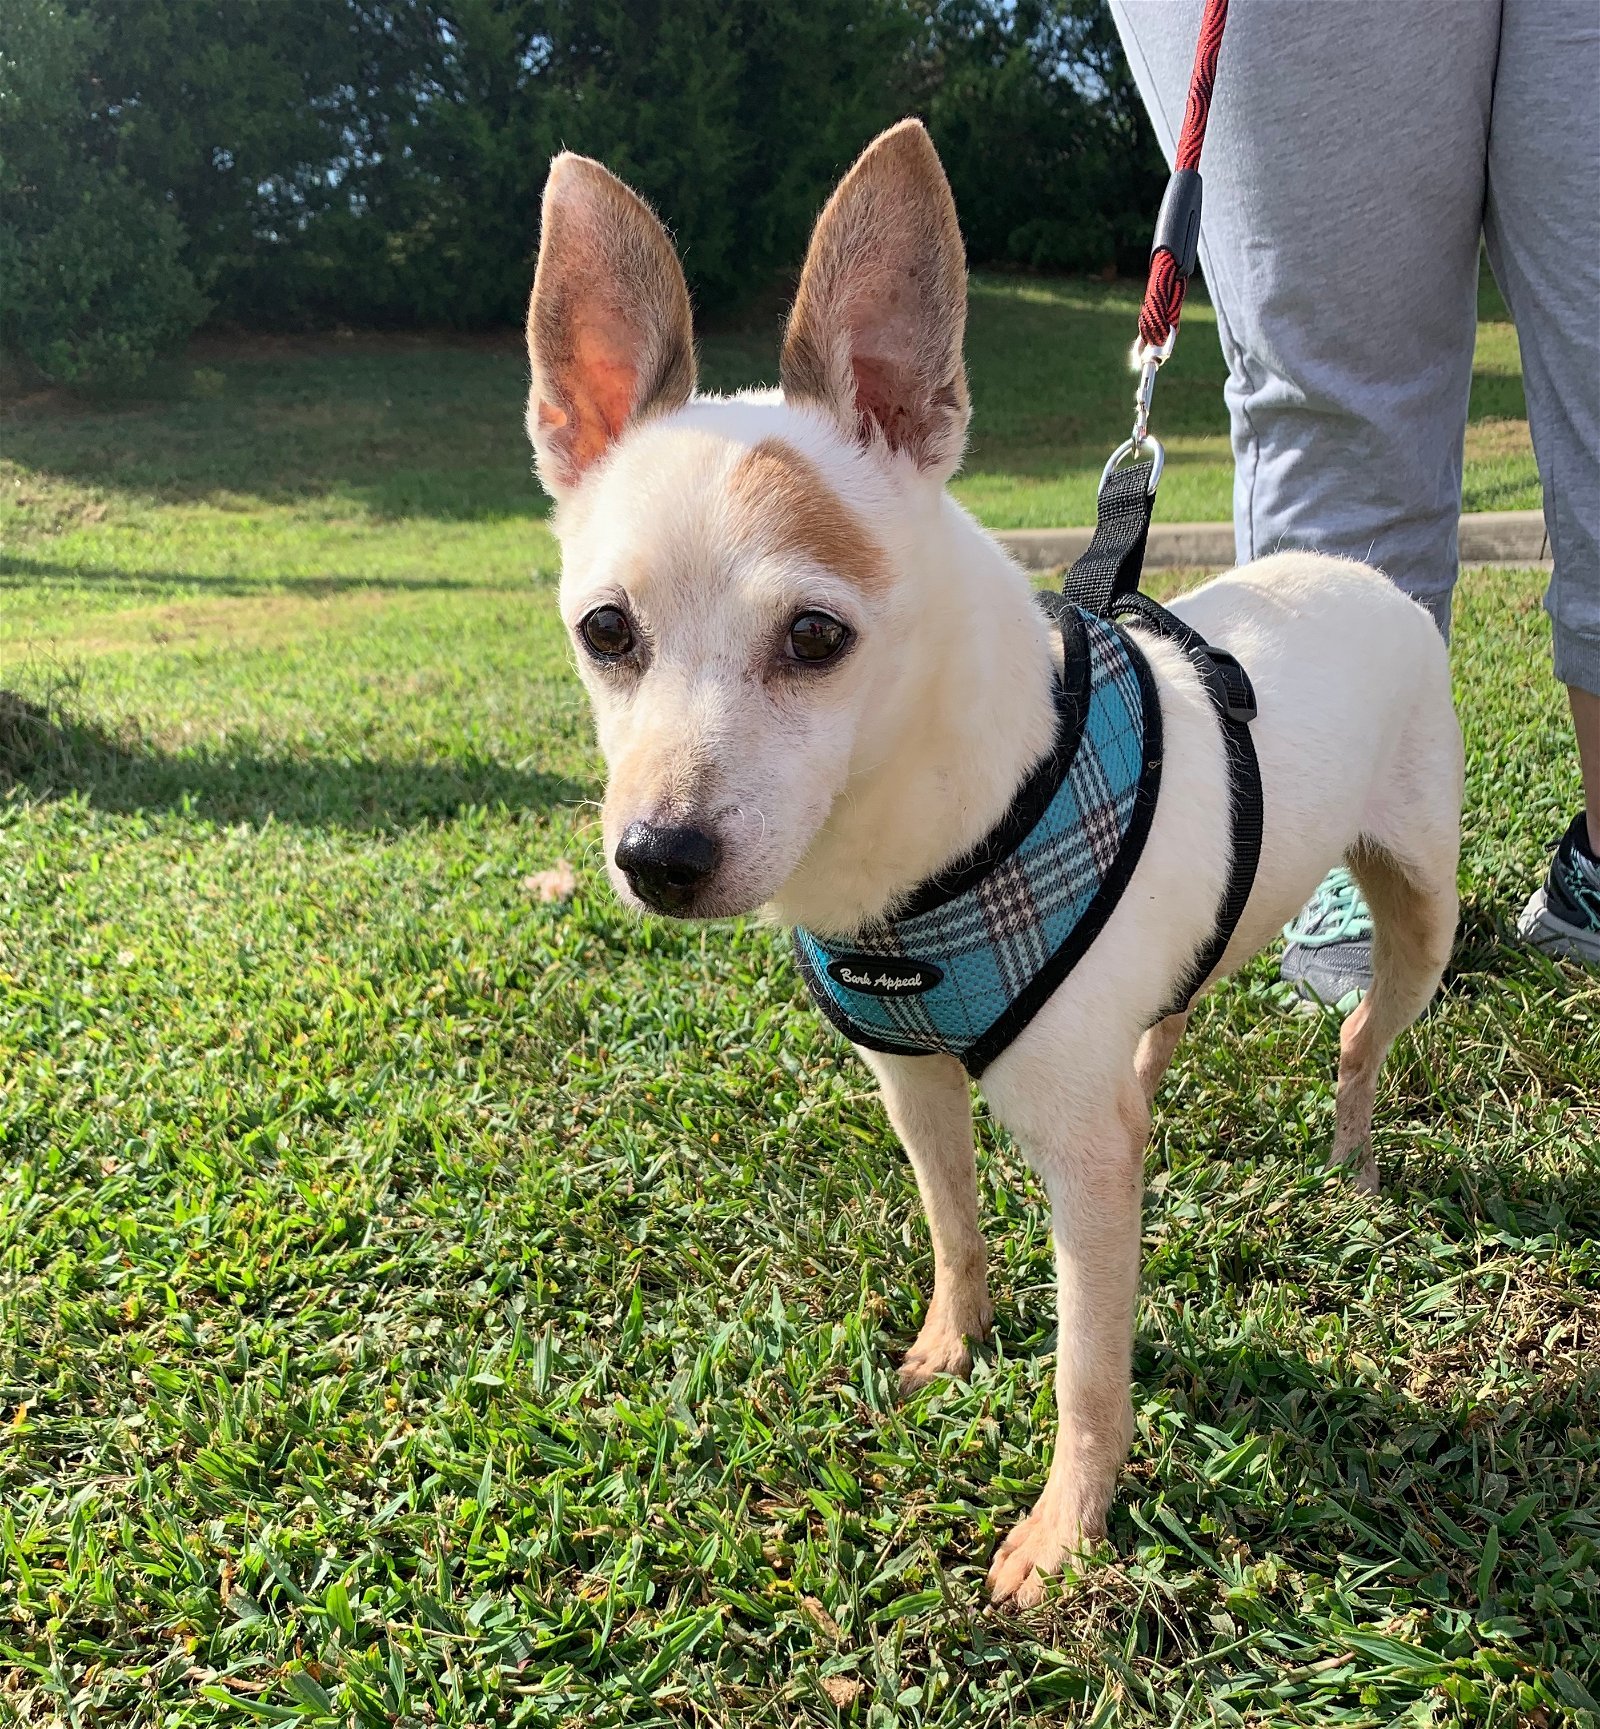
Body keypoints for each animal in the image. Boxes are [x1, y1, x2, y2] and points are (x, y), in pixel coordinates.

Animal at [525, 121, 1459, 1604]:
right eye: (605, 632)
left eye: (816, 638)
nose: (659, 854)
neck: (909, 860)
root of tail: (1354, 571)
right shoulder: (910, 1079)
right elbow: (953, 1224)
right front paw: (949, 1347)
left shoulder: (1082, 1162)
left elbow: (1090, 1368)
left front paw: (1064, 1532)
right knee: (1168, 1016)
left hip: (1422, 908)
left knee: (1364, 1034)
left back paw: (1356, 1161)